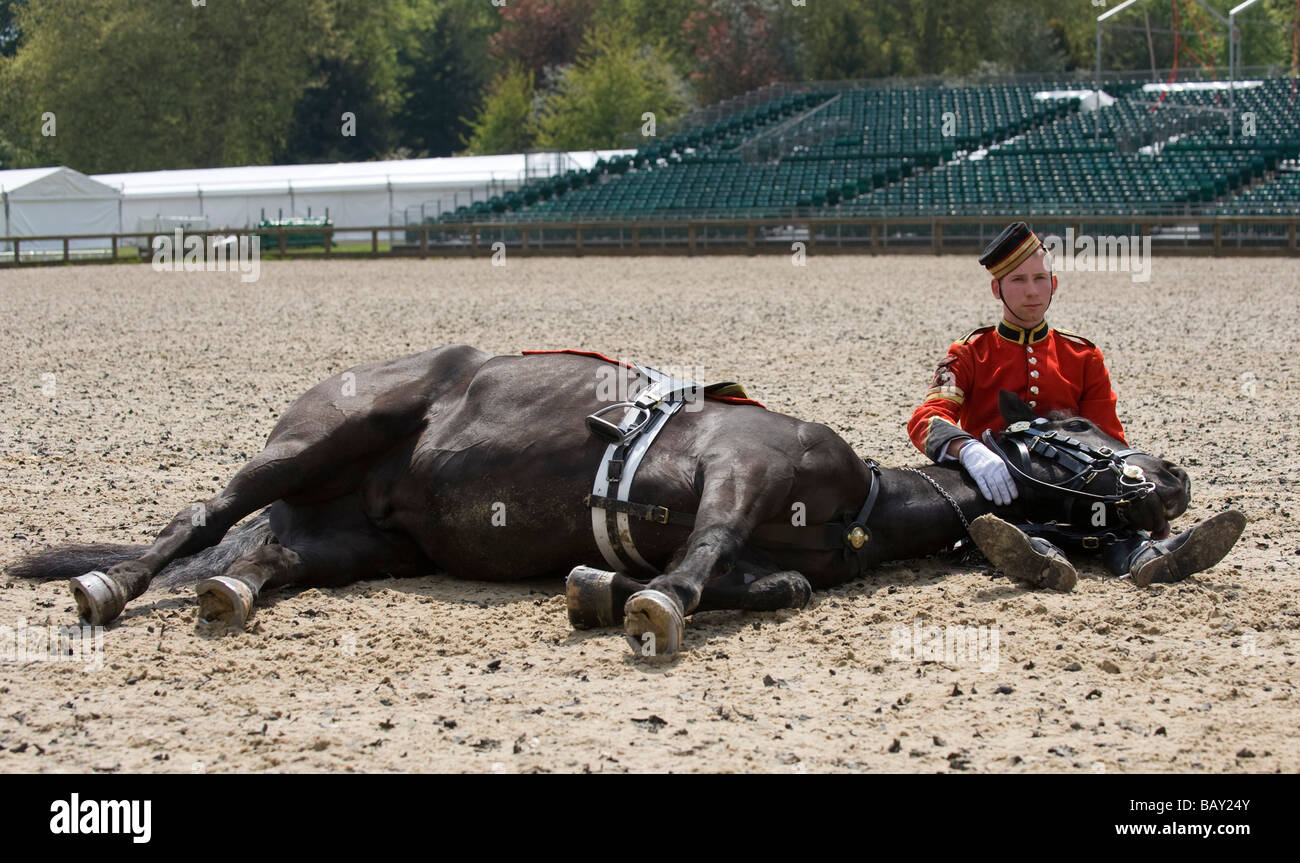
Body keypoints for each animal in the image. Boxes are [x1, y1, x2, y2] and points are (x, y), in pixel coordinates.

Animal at [10, 345, 1198, 656]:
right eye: (1079, 432)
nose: (1176, 480)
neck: (857, 494)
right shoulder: (740, 470)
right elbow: (703, 556)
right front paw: (647, 601)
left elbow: (765, 584)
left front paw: (599, 585)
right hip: (310, 444)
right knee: (198, 520)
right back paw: (109, 585)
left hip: (358, 542)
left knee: (265, 563)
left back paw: (234, 597)